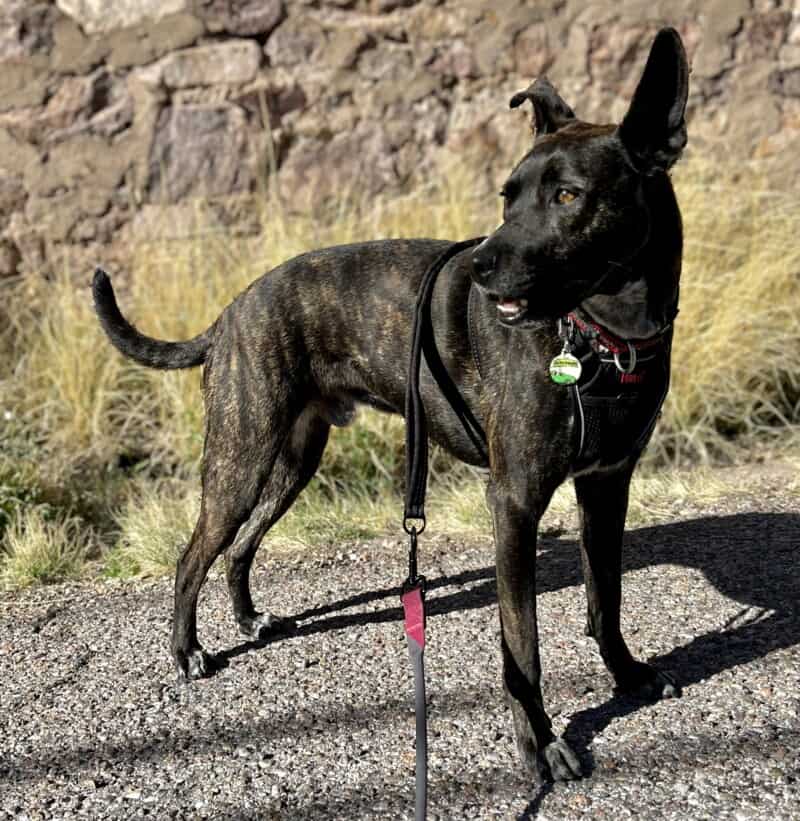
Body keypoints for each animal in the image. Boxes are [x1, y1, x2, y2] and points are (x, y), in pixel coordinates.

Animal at [94, 27, 692, 780]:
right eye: (508, 196)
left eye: (567, 195)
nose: (480, 265)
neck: (601, 342)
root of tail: (230, 311)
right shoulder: (515, 503)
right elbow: (521, 644)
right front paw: (538, 740)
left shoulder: (608, 485)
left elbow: (606, 598)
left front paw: (627, 674)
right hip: (241, 456)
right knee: (193, 556)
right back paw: (186, 651)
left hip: (291, 461)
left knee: (239, 548)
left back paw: (248, 618)